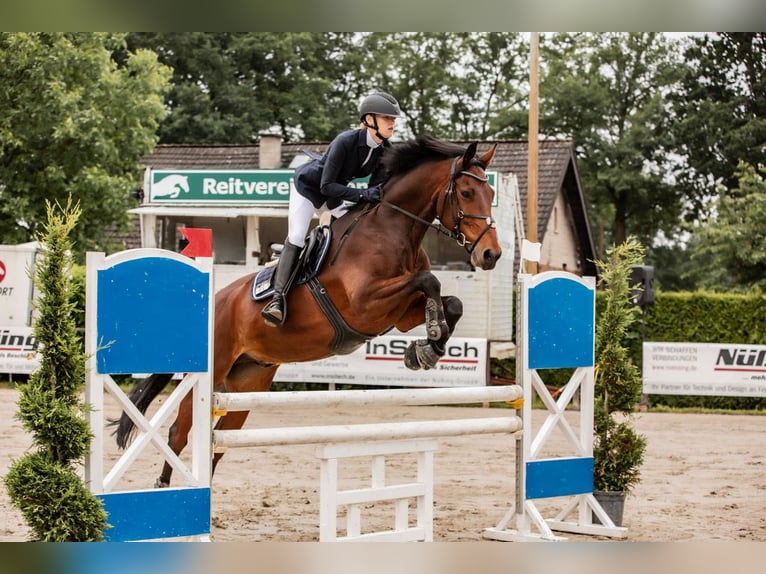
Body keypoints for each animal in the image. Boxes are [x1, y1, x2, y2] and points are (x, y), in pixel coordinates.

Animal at [112, 136, 498, 490]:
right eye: (466, 193)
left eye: (491, 193)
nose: (491, 255)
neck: (392, 229)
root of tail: (215, 303)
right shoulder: (365, 305)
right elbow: (429, 279)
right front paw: (430, 341)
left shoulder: (398, 315)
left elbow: (451, 301)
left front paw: (427, 348)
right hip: (212, 370)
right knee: (179, 432)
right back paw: (166, 491)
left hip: (248, 382)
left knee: (219, 443)